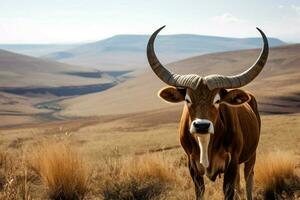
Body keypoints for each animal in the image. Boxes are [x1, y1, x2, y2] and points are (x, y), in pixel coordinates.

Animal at [146, 26, 268, 200]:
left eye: (217, 101)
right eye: (187, 99)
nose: (201, 126)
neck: (205, 144)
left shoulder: (231, 163)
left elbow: (229, 191)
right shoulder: (192, 166)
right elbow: (200, 192)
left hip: (251, 155)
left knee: (248, 179)